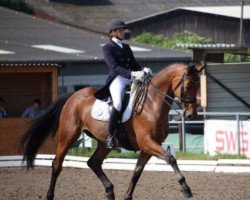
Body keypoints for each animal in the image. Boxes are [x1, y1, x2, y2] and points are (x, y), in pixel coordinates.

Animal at [21, 61, 205, 199]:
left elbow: (136, 172)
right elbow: (171, 158)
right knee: (57, 164)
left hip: (104, 142)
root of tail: (73, 95)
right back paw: (50, 195)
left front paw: (127, 196)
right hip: (68, 136)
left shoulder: (149, 147)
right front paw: (186, 188)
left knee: (93, 162)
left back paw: (110, 191)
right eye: (188, 85)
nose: (191, 115)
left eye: (198, 86)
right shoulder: (147, 143)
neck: (152, 104)